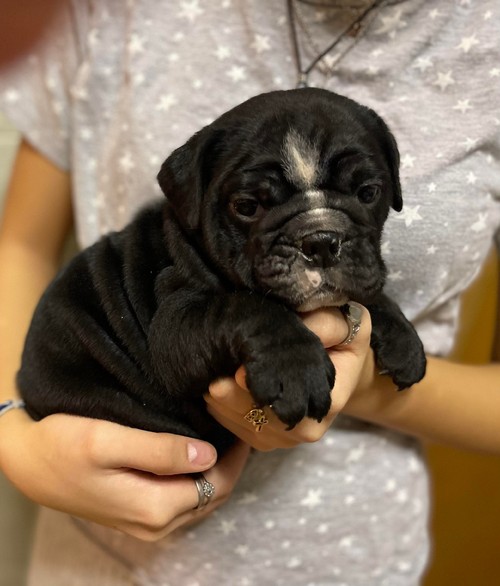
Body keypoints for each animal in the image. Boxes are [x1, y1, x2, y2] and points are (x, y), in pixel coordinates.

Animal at [18, 88, 426, 452]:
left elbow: (370, 290)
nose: (321, 239)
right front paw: (295, 368)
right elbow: (246, 306)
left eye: (369, 193)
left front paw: (403, 339)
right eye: (246, 206)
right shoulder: (176, 325)